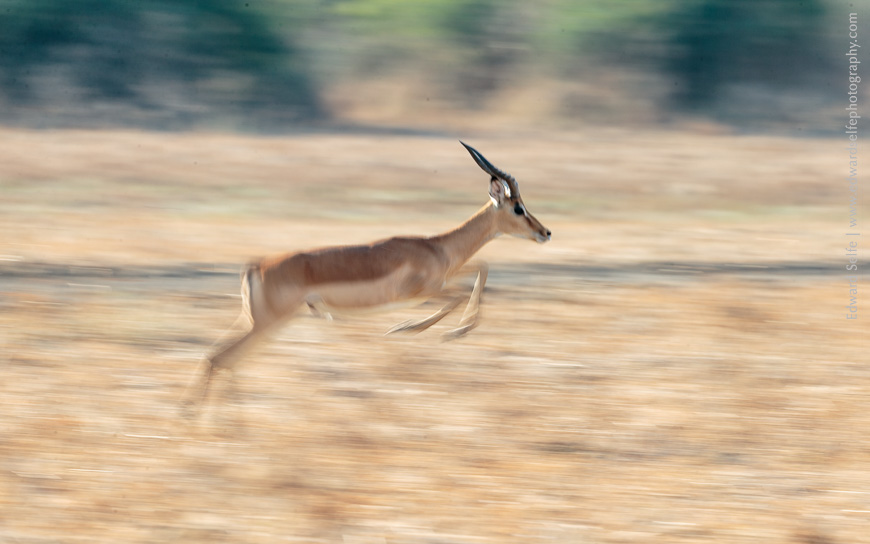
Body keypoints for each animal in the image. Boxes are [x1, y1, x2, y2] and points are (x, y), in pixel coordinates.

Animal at [182, 142, 550, 412]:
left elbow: (481, 268)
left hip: (258, 322)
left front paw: (420, 329)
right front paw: (417, 329)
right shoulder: (417, 291)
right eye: (518, 207)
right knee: (220, 358)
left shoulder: (444, 276)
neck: (435, 247)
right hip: (266, 324)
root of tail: (254, 267)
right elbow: (457, 295)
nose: (545, 232)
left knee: (219, 358)